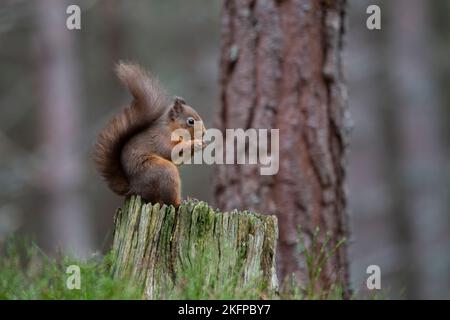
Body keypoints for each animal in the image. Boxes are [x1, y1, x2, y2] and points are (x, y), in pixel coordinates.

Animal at [95, 62, 207, 208]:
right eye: (191, 121)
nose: (204, 133)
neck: (170, 127)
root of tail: (134, 188)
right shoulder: (160, 138)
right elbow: (169, 150)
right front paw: (196, 143)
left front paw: (203, 144)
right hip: (164, 171)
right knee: (167, 201)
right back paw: (179, 202)